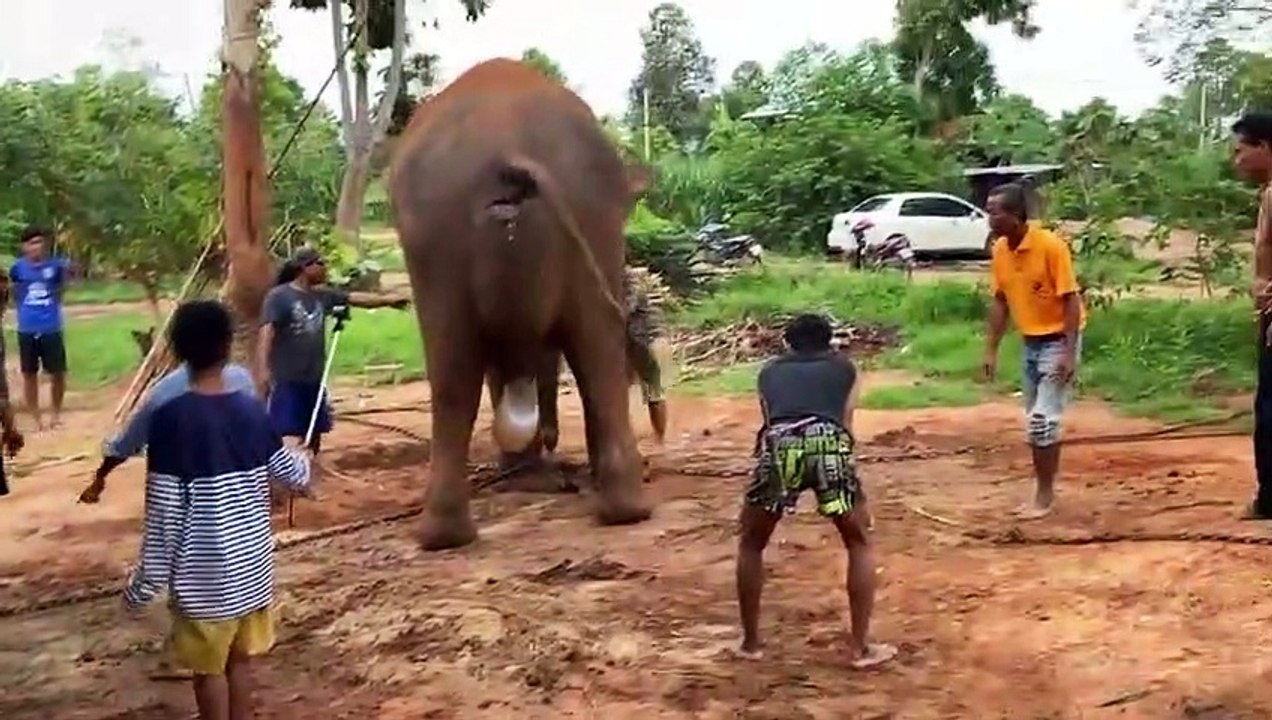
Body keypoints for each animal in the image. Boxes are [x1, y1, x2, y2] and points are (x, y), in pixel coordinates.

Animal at [388, 58, 655, 550]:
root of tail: (507, 148)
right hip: (588, 217)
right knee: (598, 349)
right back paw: (625, 508)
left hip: (435, 241)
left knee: (452, 370)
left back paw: (444, 535)